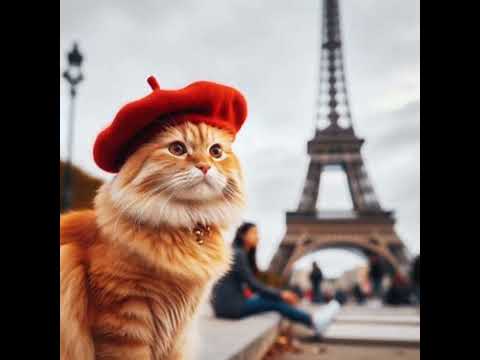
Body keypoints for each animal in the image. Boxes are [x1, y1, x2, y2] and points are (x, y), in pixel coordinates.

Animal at [60, 121, 246, 360]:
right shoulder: (124, 321)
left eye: (216, 151)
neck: (188, 227)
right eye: (177, 149)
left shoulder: (179, 333)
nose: (205, 166)